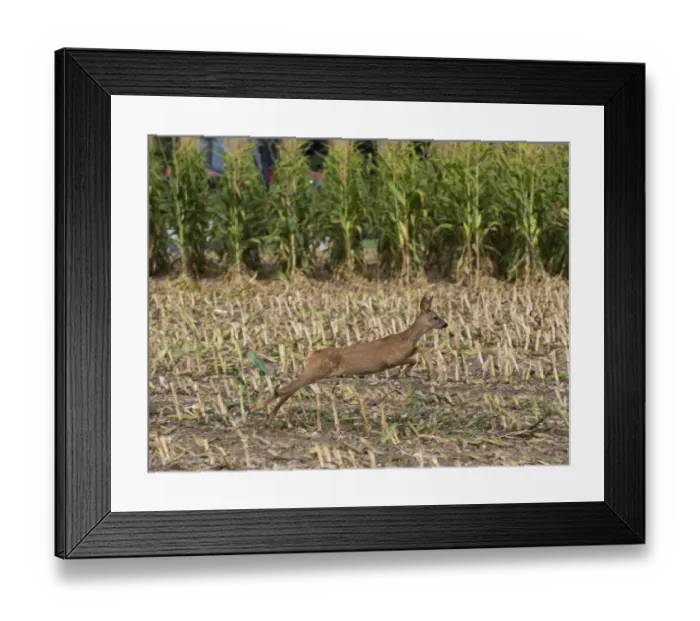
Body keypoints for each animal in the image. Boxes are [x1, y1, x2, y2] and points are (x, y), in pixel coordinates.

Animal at [254, 295, 448, 426]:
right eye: (435, 316)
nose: (445, 324)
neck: (406, 337)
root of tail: (311, 355)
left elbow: (419, 350)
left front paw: (422, 373)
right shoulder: (391, 358)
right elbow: (415, 356)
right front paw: (414, 373)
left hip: (313, 373)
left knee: (290, 389)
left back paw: (268, 418)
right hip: (316, 371)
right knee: (287, 388)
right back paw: (258, 408)